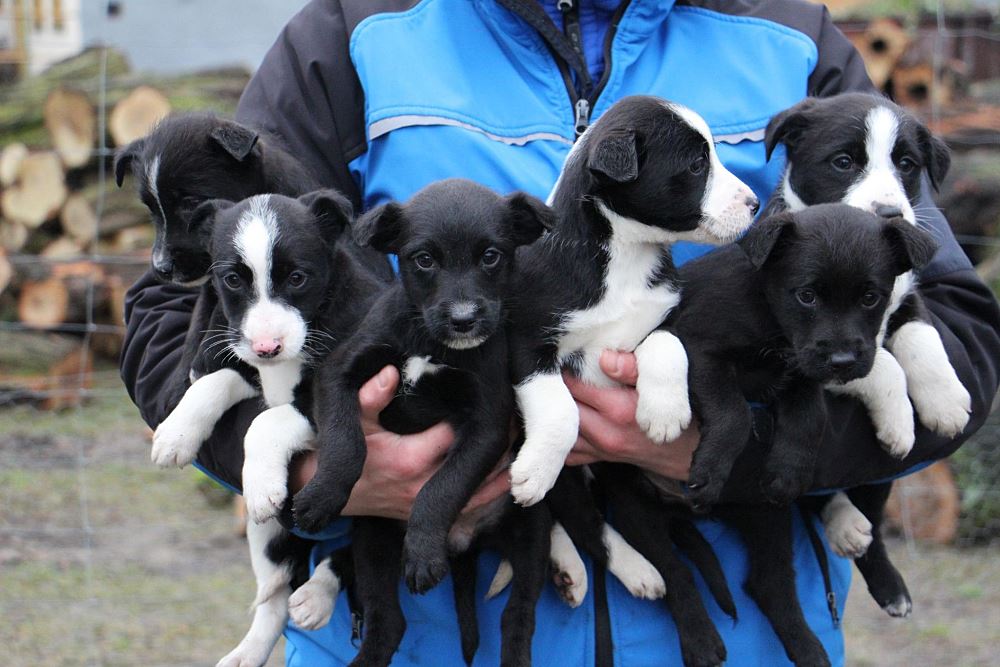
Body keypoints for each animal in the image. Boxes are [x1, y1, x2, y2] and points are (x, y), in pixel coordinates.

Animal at [292, 178, 554, 666]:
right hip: (372, 538)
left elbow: (442, 486)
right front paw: (321, 495)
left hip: (531, 533)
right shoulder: (339, 371)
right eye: (424, 259)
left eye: (492, 256)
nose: (464, 319)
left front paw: (423, 552)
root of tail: (465, 546)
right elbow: (344, 440)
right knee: (388, 622)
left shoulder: (488, 423)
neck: (431, 344)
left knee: (520, 617)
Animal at [764, 92, 970, 617]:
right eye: (843, 162)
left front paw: (945, 402)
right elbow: (883, 364)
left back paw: (886, 579)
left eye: (906, 164)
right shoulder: (808, 346)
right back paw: (846, 526)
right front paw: (900, 420)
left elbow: (921, 338)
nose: (889, 214)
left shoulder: (906, 295)